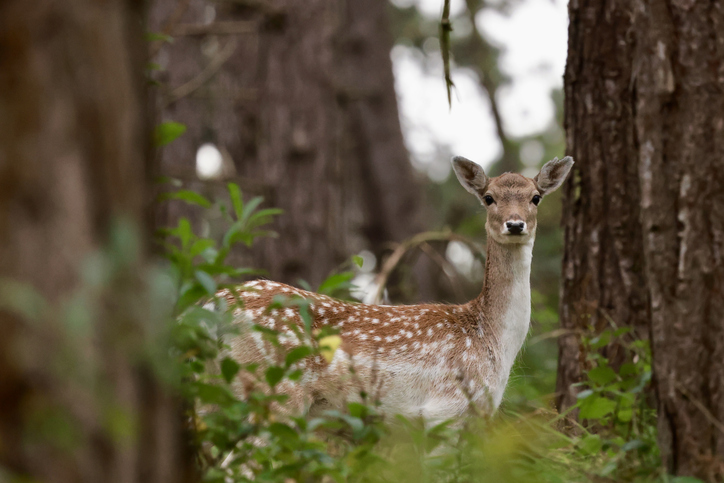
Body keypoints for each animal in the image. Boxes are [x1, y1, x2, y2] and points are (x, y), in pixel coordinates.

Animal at [214, 155, 574, 422]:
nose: (515, 224)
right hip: (273, 390)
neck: (492, 340)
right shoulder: (442, 410)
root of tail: (209, 306)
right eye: (488, 198)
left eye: (535, 197)